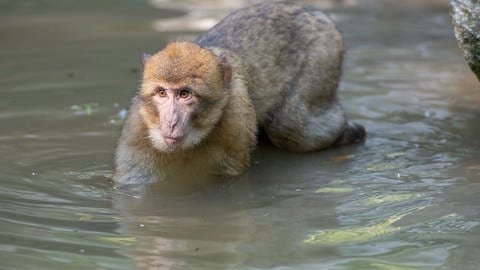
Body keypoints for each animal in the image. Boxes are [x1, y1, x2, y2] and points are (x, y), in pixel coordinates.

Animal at [114, 0, 366, 186]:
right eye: (161, 93)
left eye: (185, 94)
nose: (171, 123)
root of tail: (310, 10)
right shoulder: (138, 127)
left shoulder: (234, 121)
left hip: (324, 52)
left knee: (291, 128)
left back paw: (351, 132)